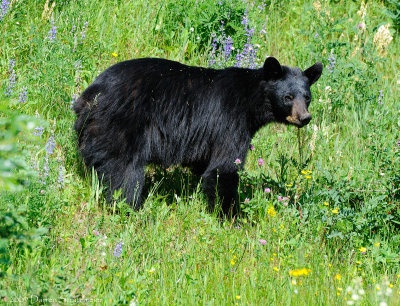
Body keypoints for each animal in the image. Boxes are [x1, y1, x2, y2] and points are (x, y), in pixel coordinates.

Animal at [74, 56, 322, 215]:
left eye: (307, 97)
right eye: (288, 97)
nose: (305, 117)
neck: (251, 102)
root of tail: (89, 96)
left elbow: (205, 166)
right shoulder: (229, 122)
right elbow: (223, 168)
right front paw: (234, 217)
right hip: (123, 126)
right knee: (124, 173)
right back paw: (132, 210)